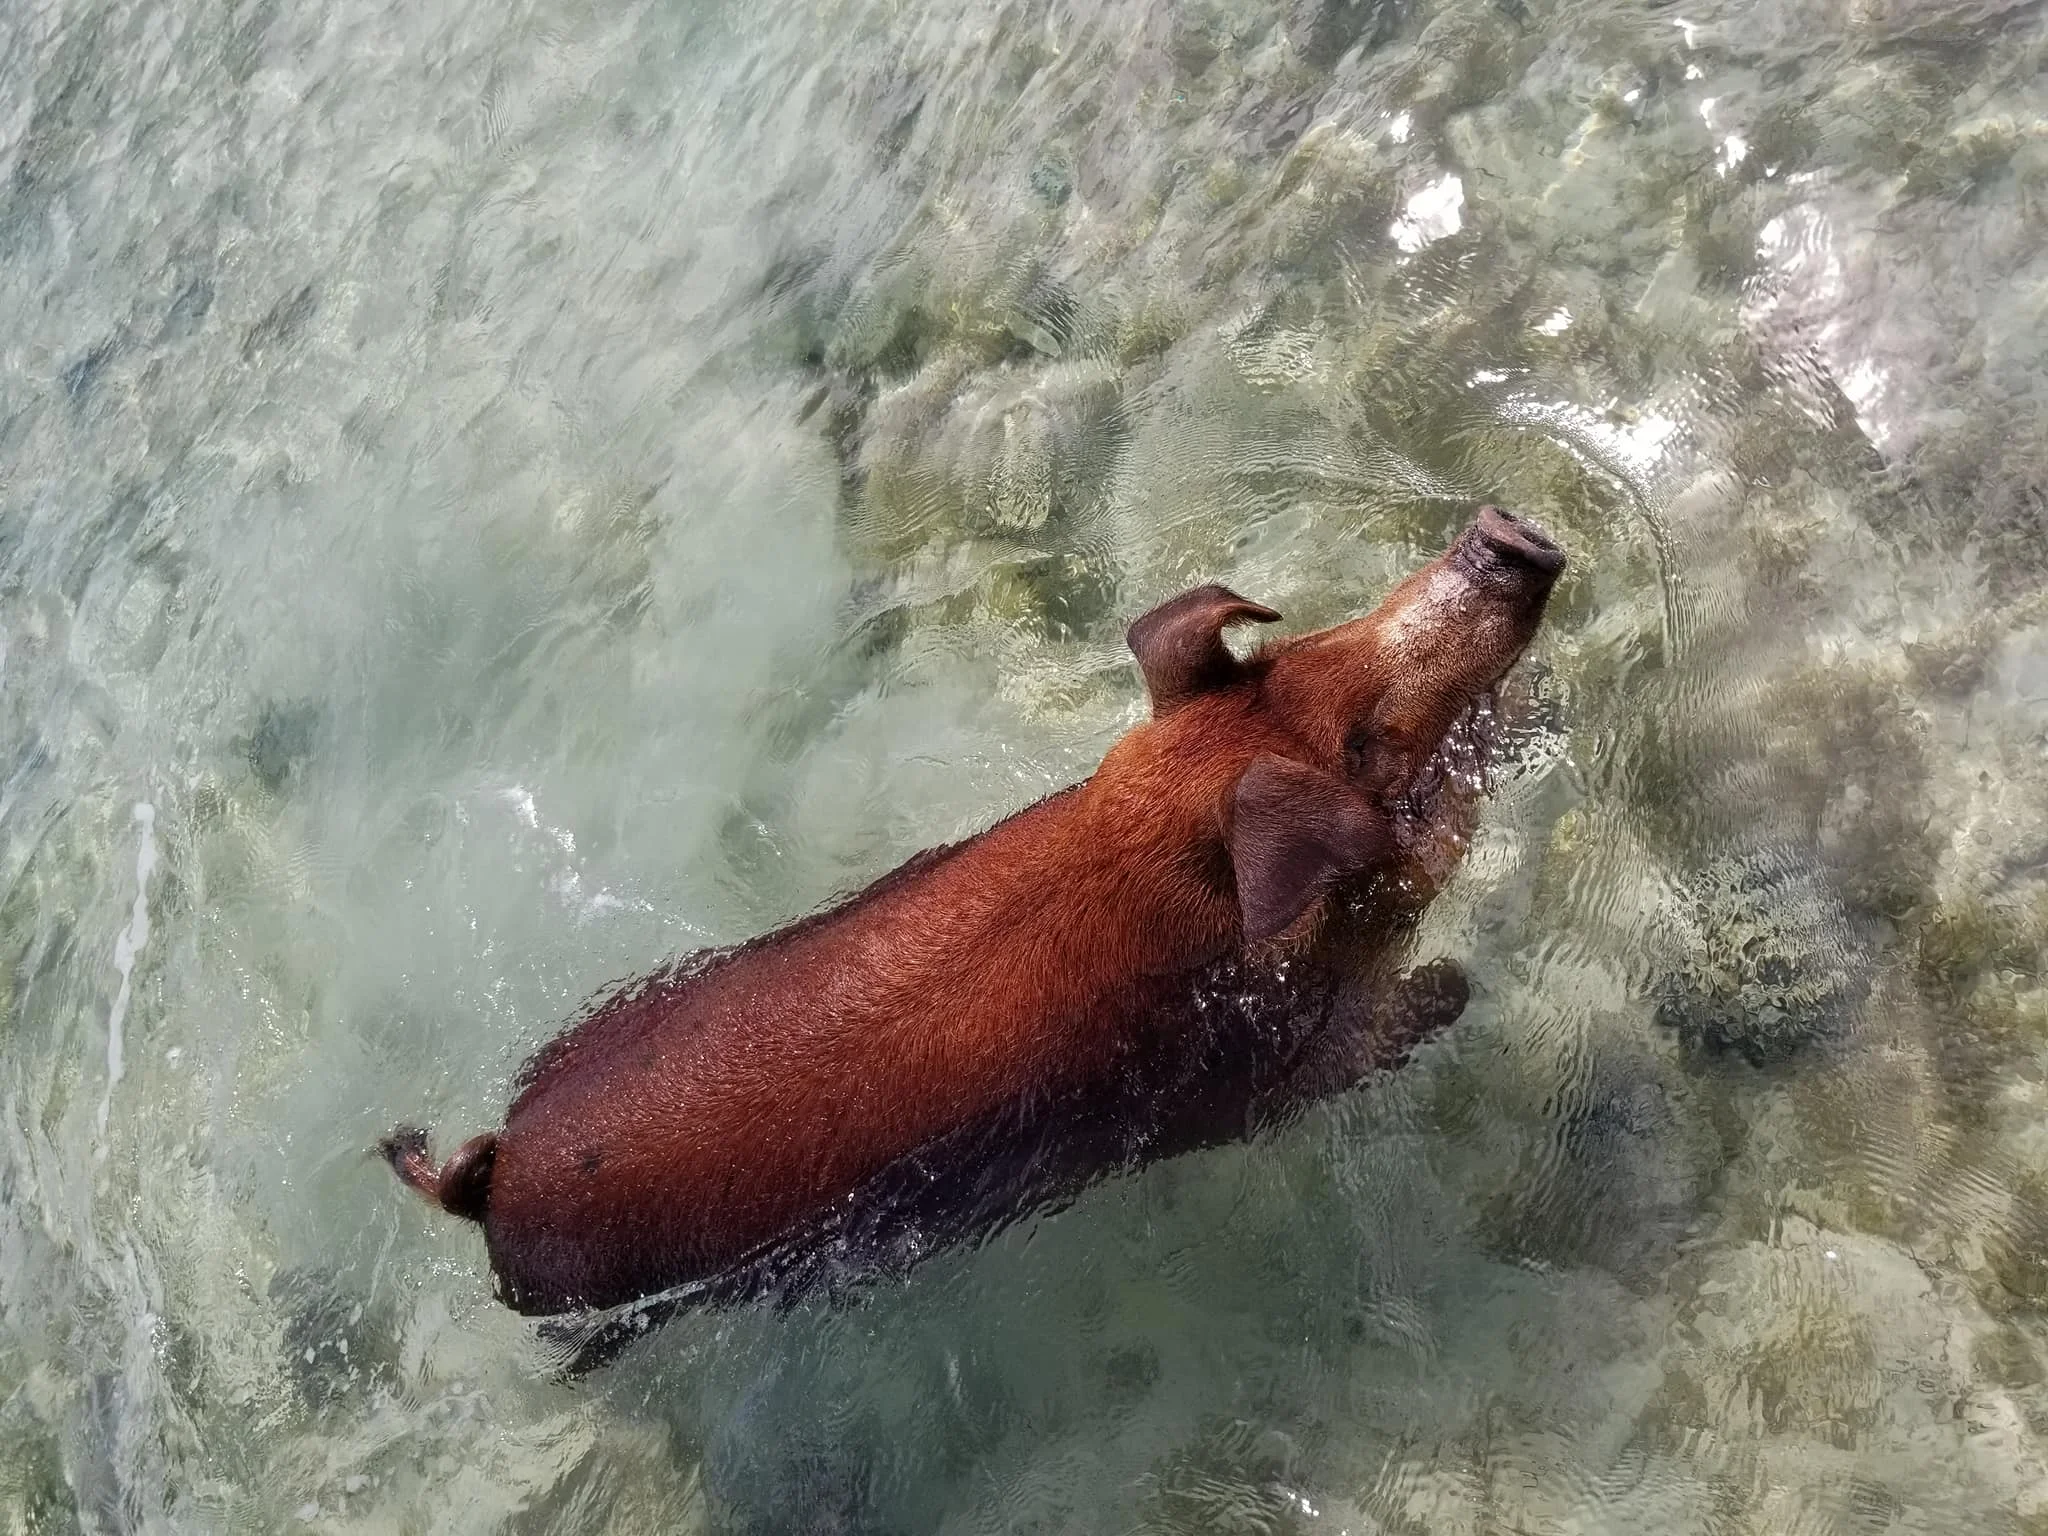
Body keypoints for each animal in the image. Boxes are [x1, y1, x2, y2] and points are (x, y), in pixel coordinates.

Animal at [383, 505, 1565, 1366]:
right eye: (1368, 743)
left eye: (1315, 635)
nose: (1506, 535)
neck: (1133, 863)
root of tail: (486, 1184)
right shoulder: (1241, 1081)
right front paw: (1458, 980)